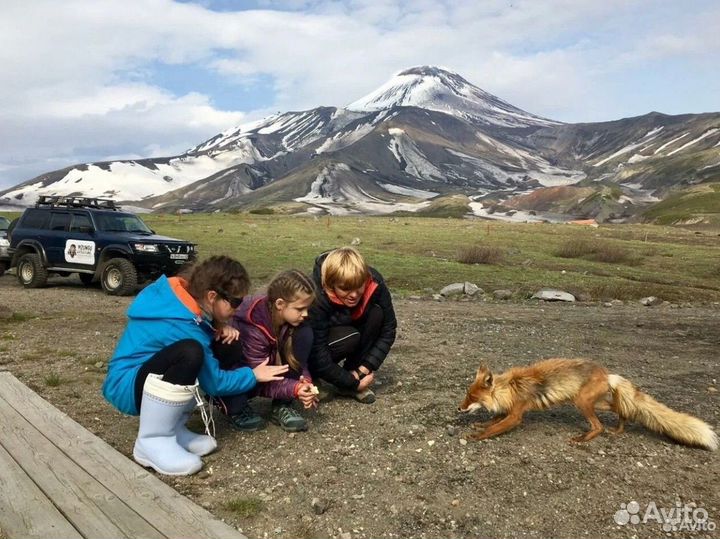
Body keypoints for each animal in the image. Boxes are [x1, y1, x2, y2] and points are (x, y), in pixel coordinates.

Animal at [458, 358, 716, 452]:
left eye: (472, 397)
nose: (459, 408)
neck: (510, 388)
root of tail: (608, 373)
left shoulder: (517, 414)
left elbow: (495, 427)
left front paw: (477, 436)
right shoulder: (509, 410)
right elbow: (492, 420)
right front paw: (479, 426)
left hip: (582, 403)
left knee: (599, 426)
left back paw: (583, 439)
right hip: (594, 403)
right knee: (620, 409)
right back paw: (619, 427)